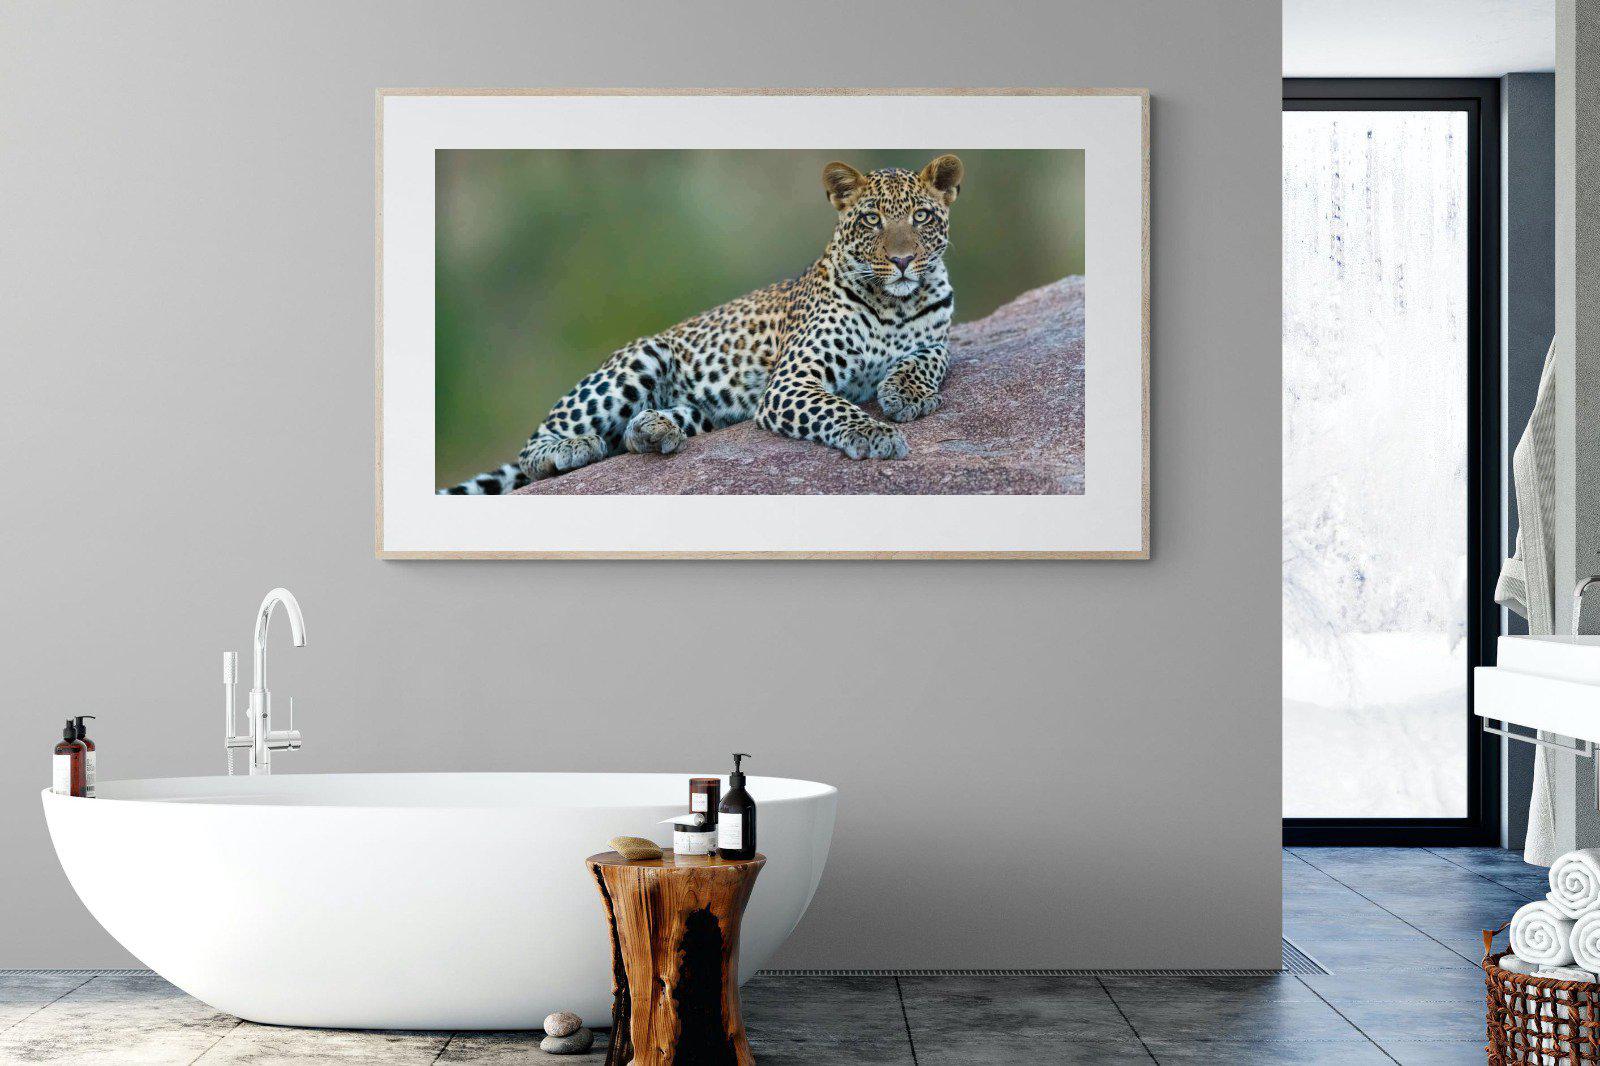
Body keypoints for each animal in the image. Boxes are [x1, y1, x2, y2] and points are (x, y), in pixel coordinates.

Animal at [439, 154, 964, 494]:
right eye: (872, 220)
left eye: (921, 217)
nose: (902, 261)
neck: (895, 306)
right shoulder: (792, 383)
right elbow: (838, 408)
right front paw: (876, 434)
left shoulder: (939, 337)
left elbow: (929, 358)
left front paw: (906, 394)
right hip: (640, 358)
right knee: (535, 448)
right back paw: (572, 448)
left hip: (707, 410)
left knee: (631, 435)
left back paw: (653, 429)